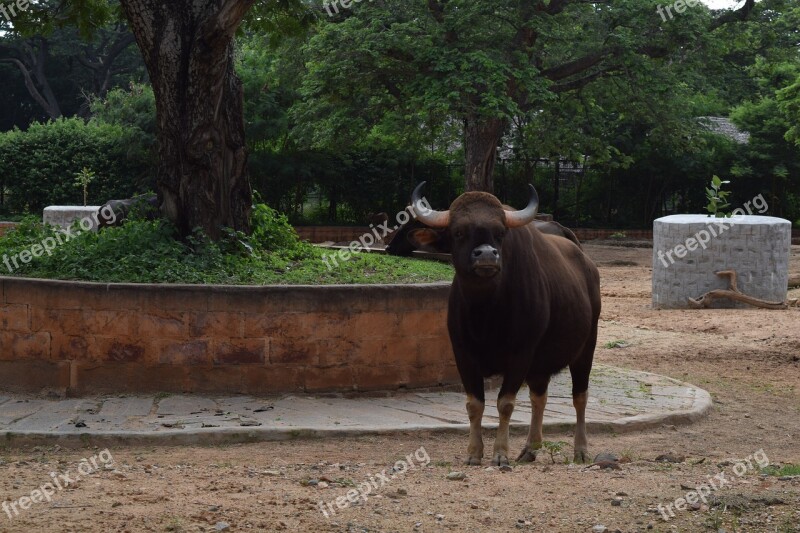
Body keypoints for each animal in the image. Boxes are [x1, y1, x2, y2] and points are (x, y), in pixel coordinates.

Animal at [410, 181, 596, 464]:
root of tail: (588, 265)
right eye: (458, 232)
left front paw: (500, 453)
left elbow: (505, 403)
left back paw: (581, 449)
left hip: (586, 349)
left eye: (499, 232)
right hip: (541, 364)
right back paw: (530, 448)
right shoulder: (463, 354)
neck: (486, 312)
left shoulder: (521, 354)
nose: (487, 255)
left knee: (580, 397)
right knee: (539, 397)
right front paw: (474, 452)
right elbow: (474, 404)